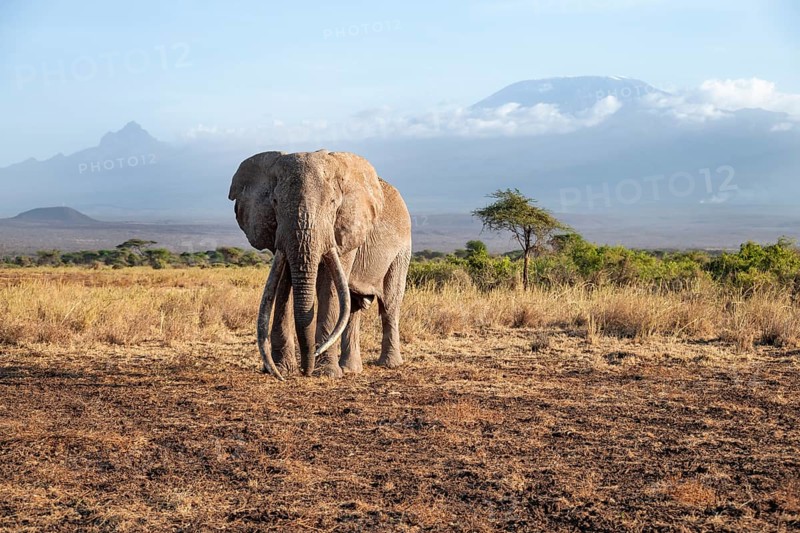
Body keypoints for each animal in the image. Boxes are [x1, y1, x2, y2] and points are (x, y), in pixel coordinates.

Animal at [228, 150, 412, 379]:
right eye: (275, 201)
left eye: (333, 202)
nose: (305, 370)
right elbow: (283, 282)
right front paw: (281, 369)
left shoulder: (345, 230)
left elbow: (328, 285)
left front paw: (326, 373)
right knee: (354, 308)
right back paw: (350, 369)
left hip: (402, 251)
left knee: (389, 304)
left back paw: (388, 364)